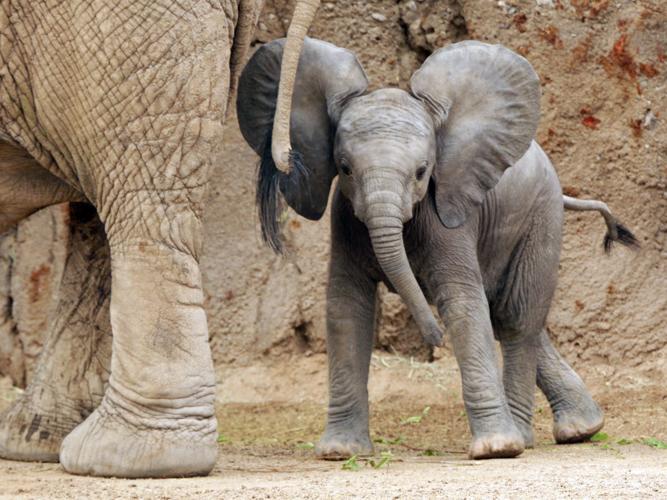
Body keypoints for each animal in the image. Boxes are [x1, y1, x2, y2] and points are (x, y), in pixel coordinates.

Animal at [236, 38, 638, 459]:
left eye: (422, 172)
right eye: (344, 168)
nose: (433, 338)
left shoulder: (449, 216)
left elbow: (461, 302)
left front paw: (494, 449)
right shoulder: (345, 219)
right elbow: (347, 306)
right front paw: (341, 452)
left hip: (540, 218)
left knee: (516, 318)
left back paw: (526, 438)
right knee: (505, 314)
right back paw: (581, 427)